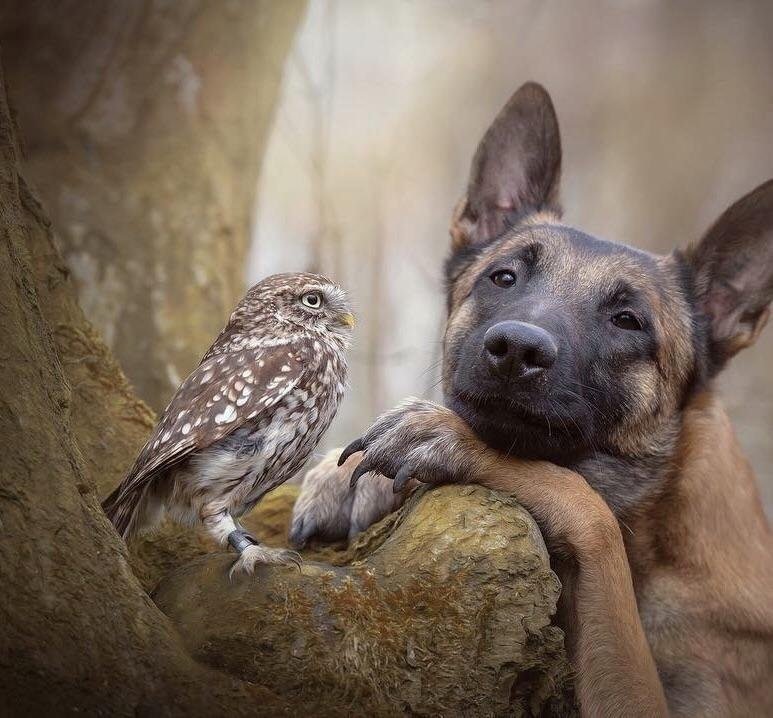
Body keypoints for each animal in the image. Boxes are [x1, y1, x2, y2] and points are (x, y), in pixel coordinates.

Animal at [292, 83, 772, 716]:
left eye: (627, 320)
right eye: (504, 278)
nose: (515, 349)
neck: (658, 519)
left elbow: (579, 500)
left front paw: (443, 437)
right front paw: (346, 478)